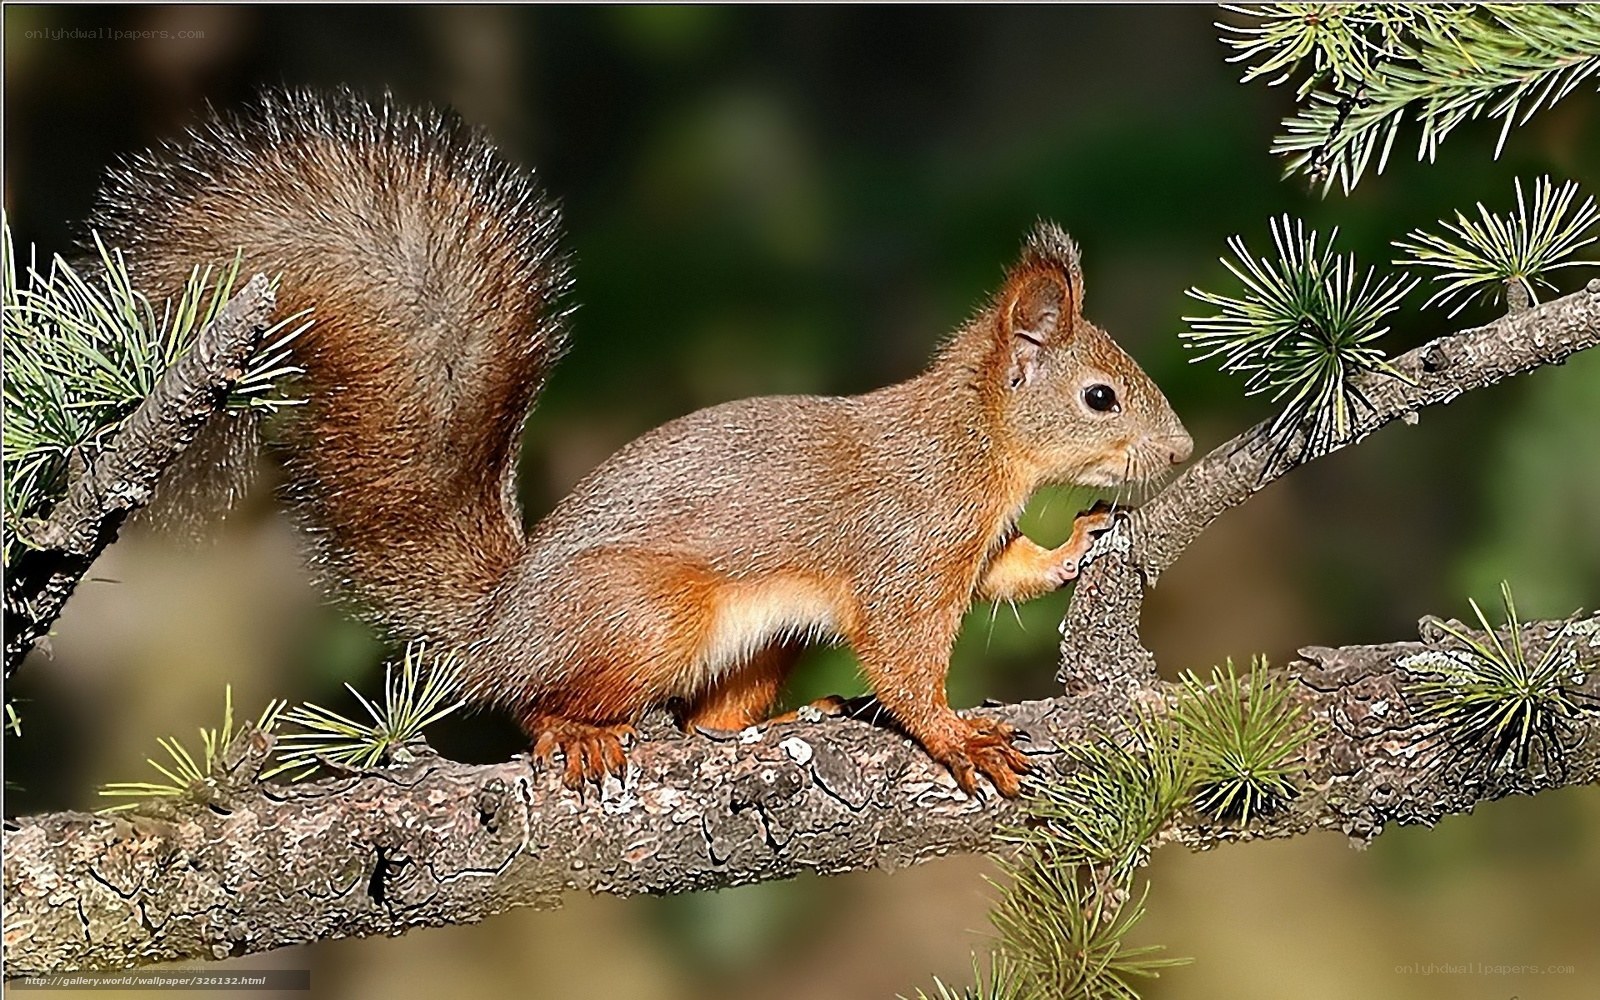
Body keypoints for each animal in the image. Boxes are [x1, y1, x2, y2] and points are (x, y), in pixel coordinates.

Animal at [90, 90, 1193, 797]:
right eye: (1100, 397)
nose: (1180, 453)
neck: (976, 446)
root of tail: (497, 625)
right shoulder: (906, 553)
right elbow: (906, 659)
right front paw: (957, 734)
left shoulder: (969, 545)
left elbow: (1008, 571)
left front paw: (1079, 539)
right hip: (647, 613)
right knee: (536, 702)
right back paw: (576, 734)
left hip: (756, 641)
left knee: (708, 720)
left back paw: (793, 720)